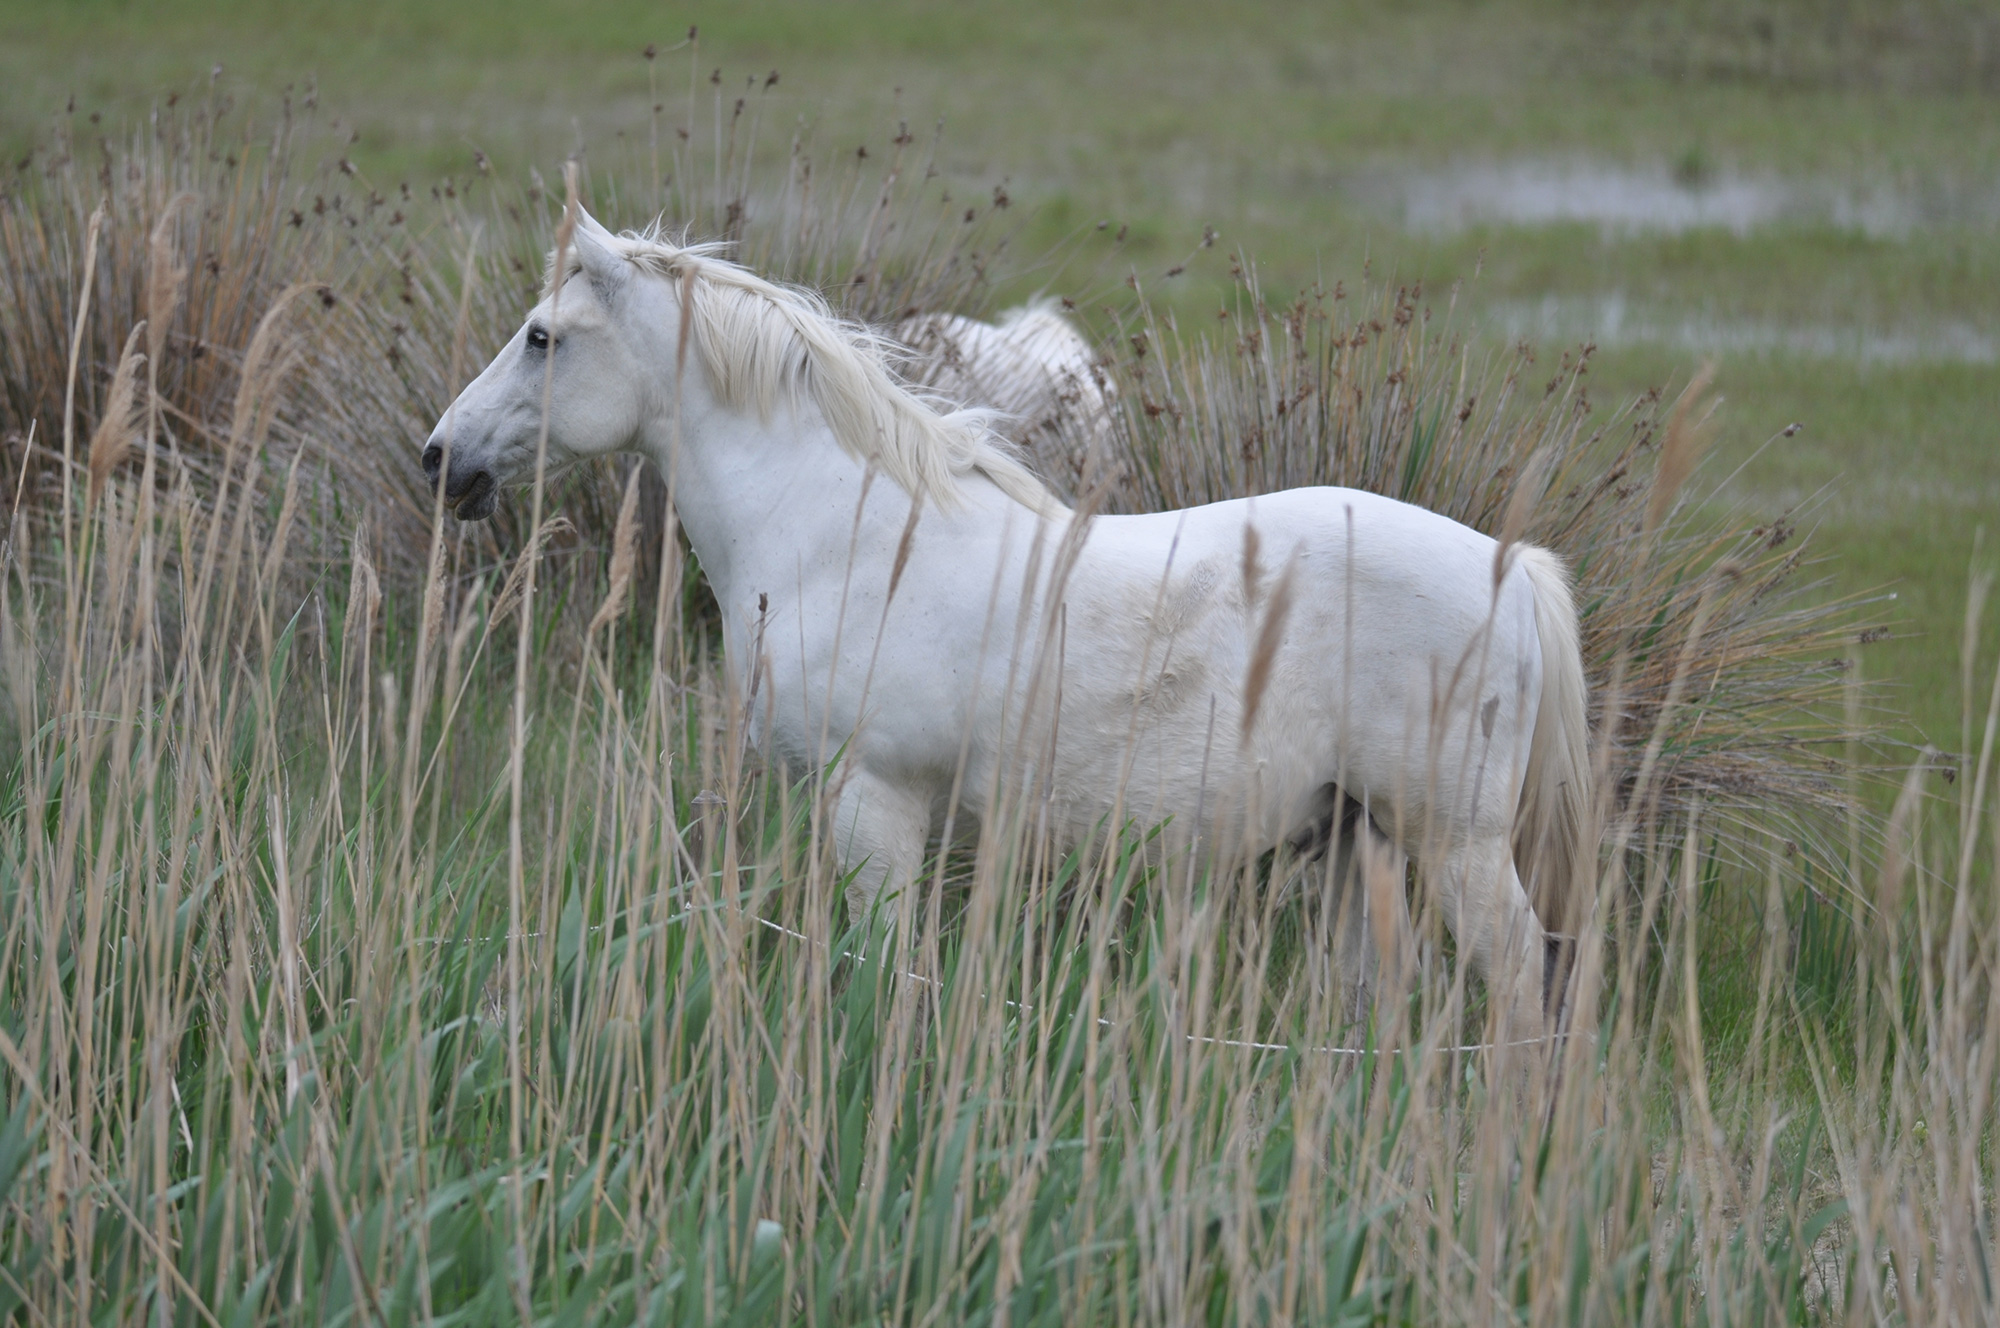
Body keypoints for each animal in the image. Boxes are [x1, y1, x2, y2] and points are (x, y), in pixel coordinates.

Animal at [426, 210, 1592, 1040]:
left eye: (541, 337)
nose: (442, 458)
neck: (840, 537)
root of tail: (1511, 568)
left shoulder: (875, 810)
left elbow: (886, 978)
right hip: (1358, 838)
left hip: (1452, 843)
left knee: (1524, 979)